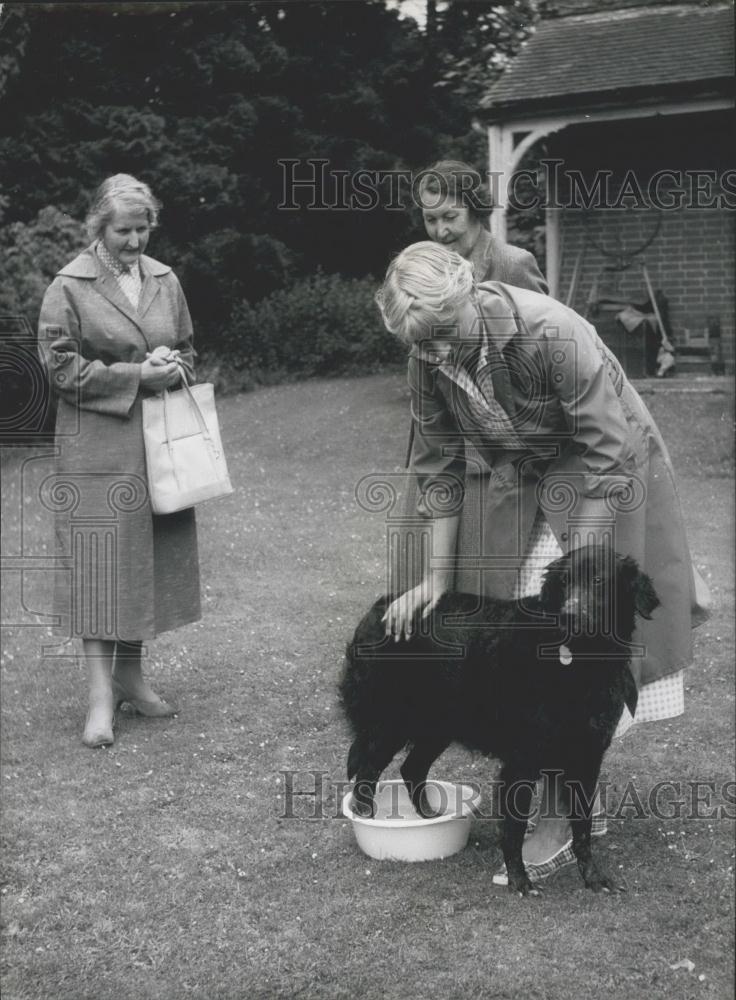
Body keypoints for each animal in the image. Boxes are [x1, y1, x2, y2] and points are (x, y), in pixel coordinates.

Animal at [342, 544, 660, 896]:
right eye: (564, 582)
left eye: (600, 580)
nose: (570, 615)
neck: (579, 660)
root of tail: (380, 607)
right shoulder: (521, 761)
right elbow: (514, 830)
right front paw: (519, 880)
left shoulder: (587, 757)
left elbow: (582, 829)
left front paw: (593, 878)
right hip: (391, 724)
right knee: (367, 772)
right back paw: (368, 818)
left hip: (438, 726)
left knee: (411, 769)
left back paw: (430, 816)